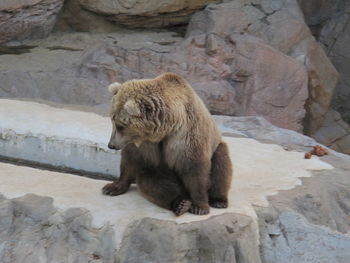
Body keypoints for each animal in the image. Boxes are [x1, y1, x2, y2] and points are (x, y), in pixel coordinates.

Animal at [102, 72, 232, 217]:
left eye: (120, 126)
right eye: (112, 120)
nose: (111, 145)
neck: (166, 128)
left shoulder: (186, 135)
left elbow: (195, 167)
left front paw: (200, 206)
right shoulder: (146, 143)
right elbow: (131, 160)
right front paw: (112, 187)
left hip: (216, 146)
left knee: (221, 165)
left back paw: (219, 200)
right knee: (153, 182)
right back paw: (181, 203)